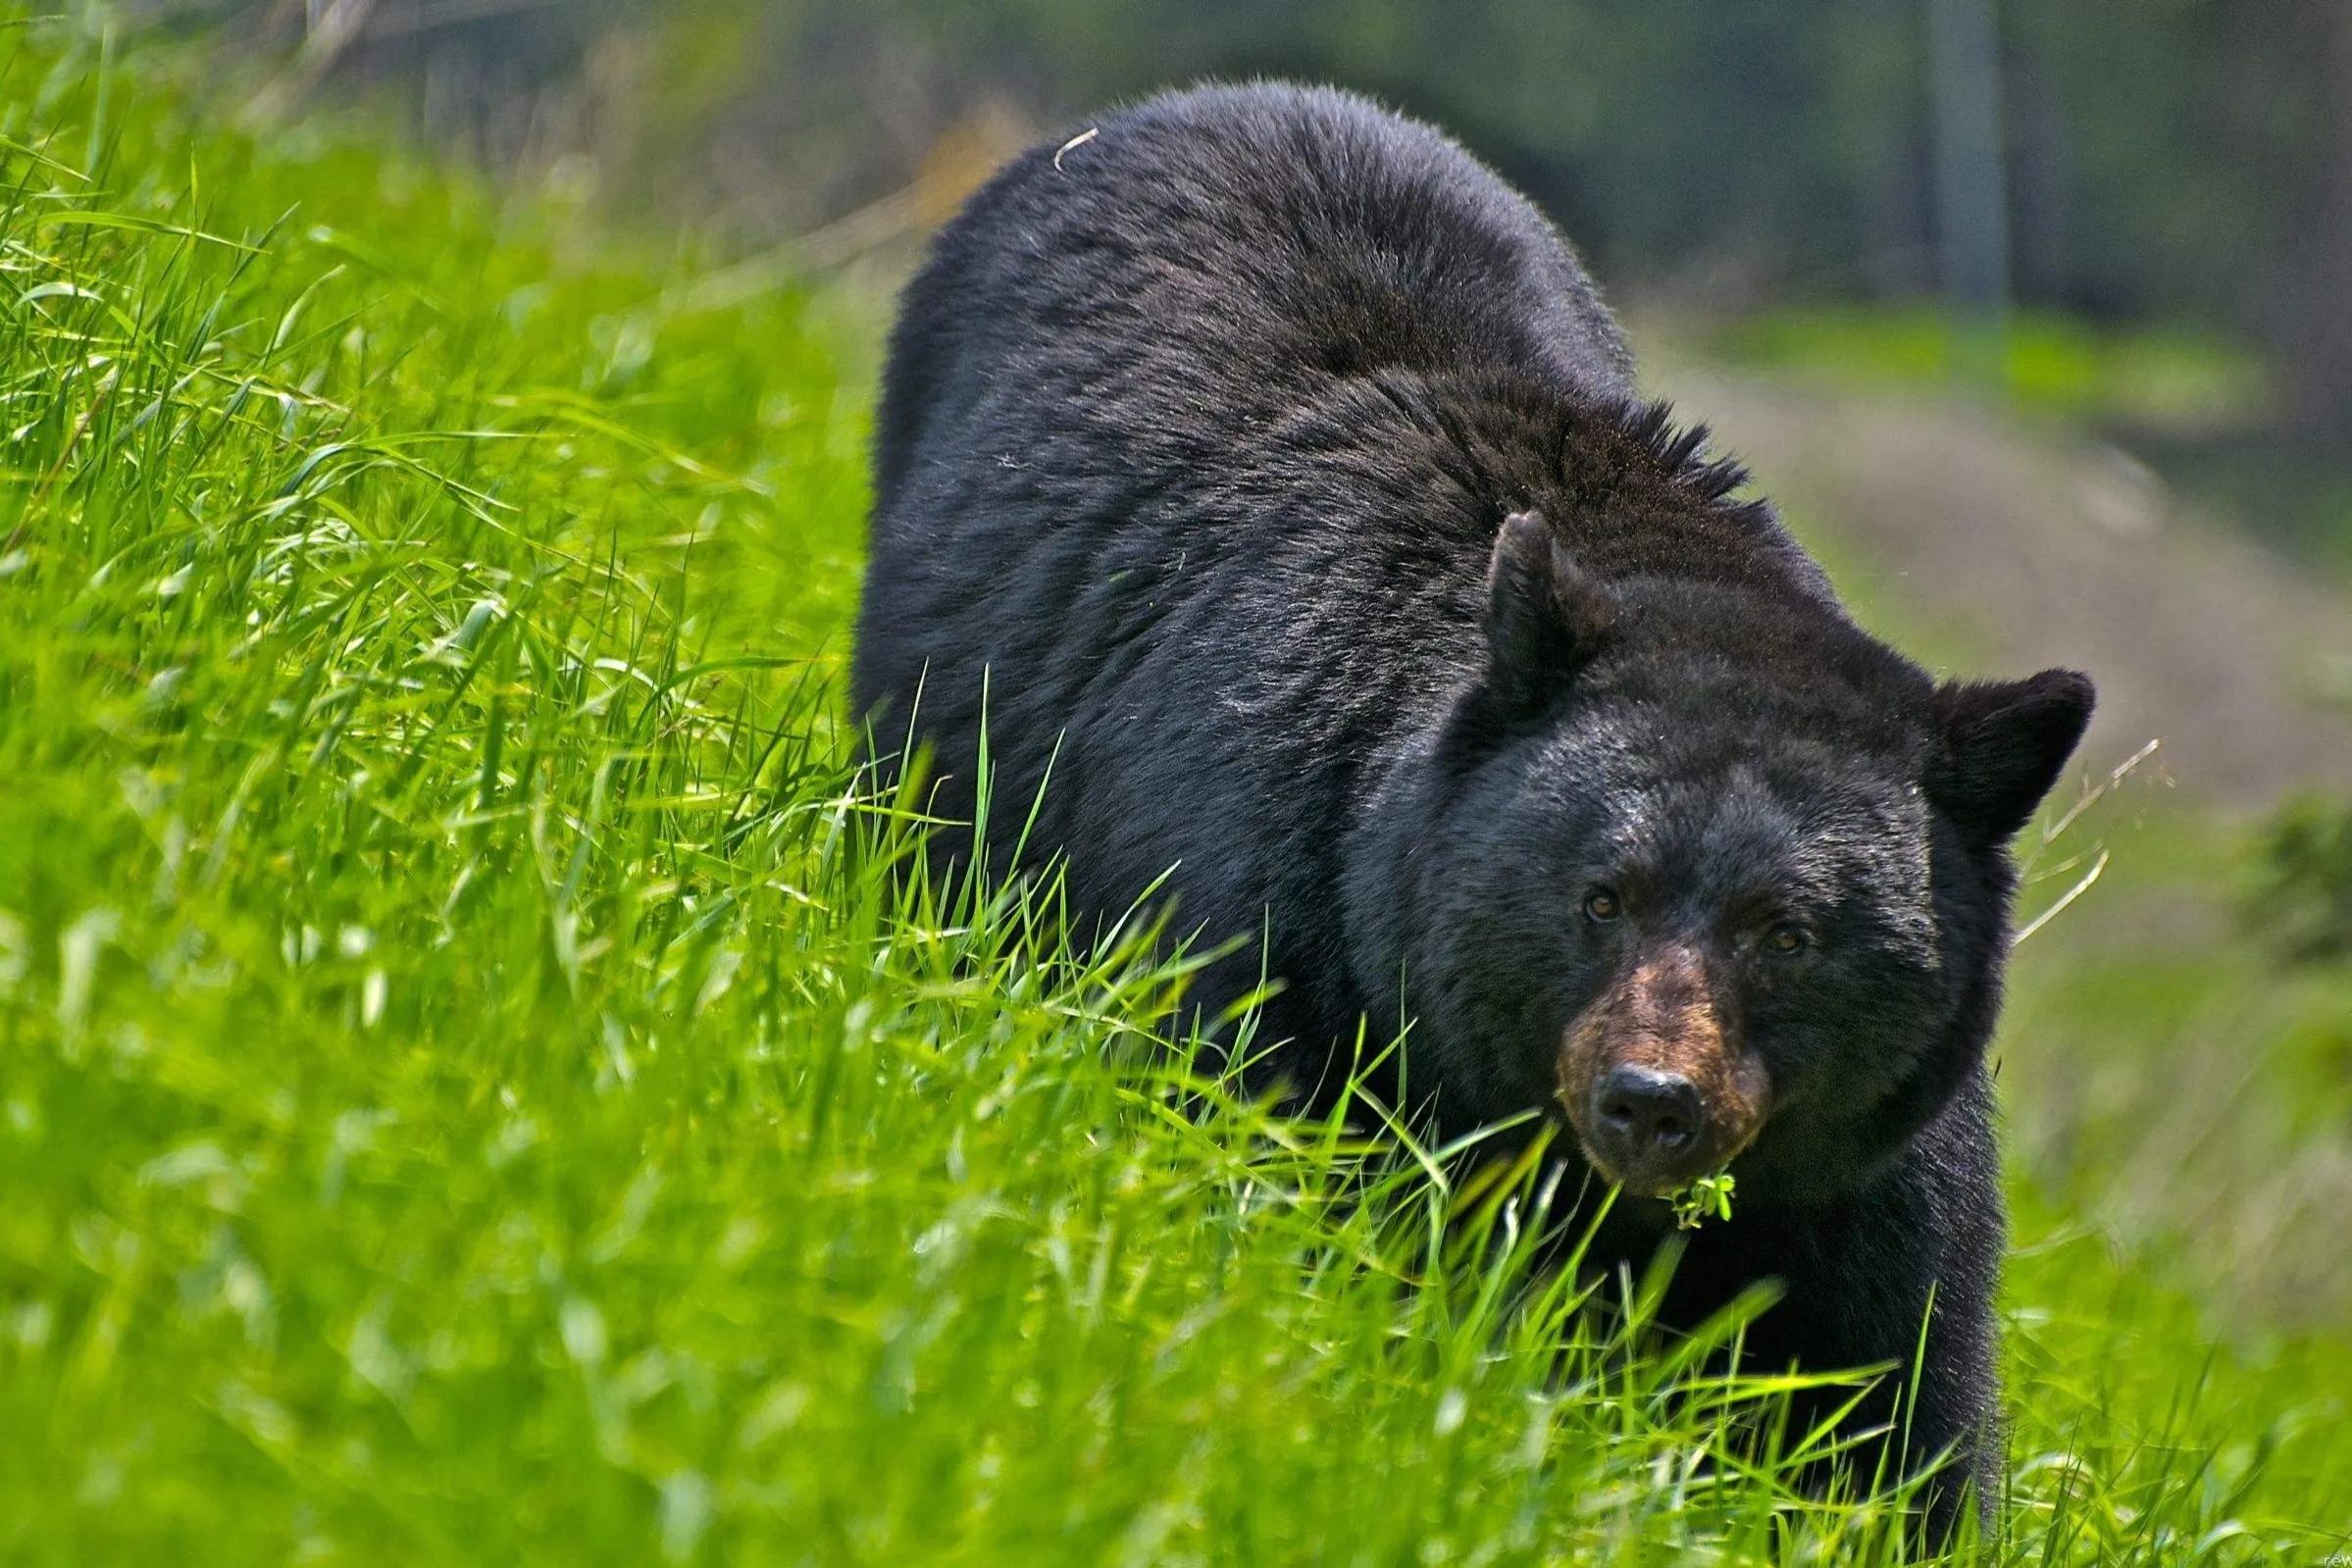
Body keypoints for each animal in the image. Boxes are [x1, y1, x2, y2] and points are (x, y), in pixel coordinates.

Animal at [851, 82, 2098, 1533]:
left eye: (1789, 933)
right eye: (1599, 896)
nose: (1650, 1101)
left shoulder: (1861, 1170)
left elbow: (1890, 1390)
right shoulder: (1279, 932)